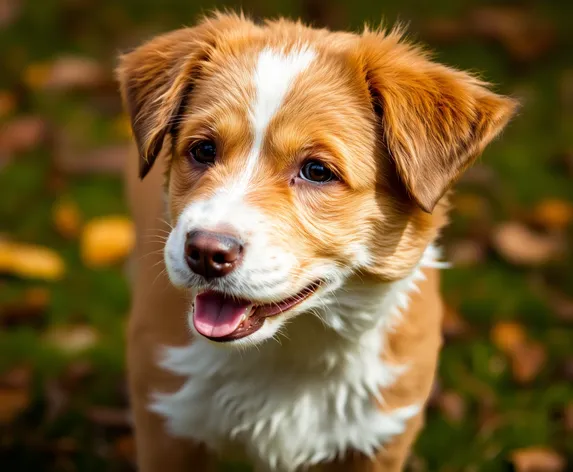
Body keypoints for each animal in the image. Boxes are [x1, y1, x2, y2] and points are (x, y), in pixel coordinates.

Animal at [118, 12, 516, 472]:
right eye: (202, 150)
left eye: (317, 171)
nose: (205, 251)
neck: (294, 348)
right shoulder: (166, 422)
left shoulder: (381, 437)